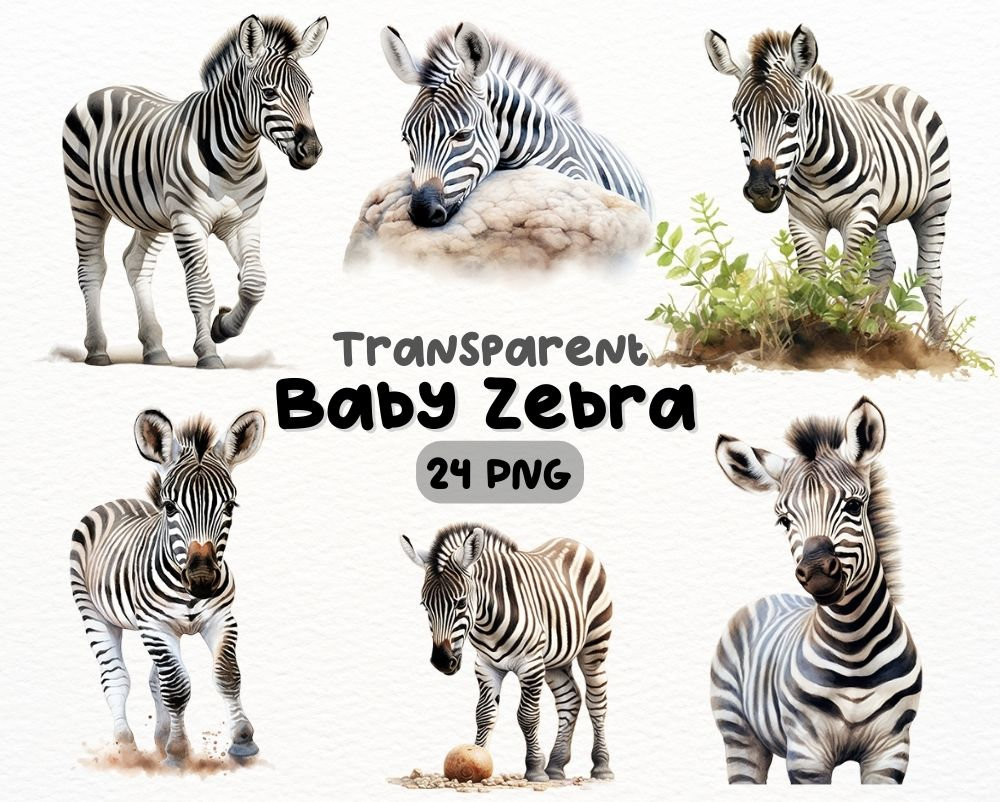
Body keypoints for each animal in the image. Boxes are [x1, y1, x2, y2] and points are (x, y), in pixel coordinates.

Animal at [62, 15, 327, 368]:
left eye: (309, 93)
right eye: (269, 93)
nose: (311, 151)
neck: (236, 161)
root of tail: (105, 88)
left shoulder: (243, 220)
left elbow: (254, 282)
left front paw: (222, 327)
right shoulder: (189, 221)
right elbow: (201, 288)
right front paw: (208, 352)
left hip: (153, 214)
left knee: (135, 263)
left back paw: (155, 349)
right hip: (85, 196)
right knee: (91, 267)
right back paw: (97, 350)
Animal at [70, 409, 265, 765]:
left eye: (230, 506)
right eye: (170, 507)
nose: (202, 581)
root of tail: (117, 501)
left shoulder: (221, 618)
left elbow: (227, 674)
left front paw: (243, 740)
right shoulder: (155, 626)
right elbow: (175, 687)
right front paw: (177, 752)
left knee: (154, 680)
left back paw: (159, 739)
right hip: (93, 612)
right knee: (115, 679)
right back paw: (127, 745)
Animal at [399, 524, 614, 782]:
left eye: (460, 603)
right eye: (425, 605)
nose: (442, 661)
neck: (487, 621)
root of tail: (573, 542)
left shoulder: (531, 665)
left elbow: (527, 716)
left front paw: (535, 769)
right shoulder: (485, 666)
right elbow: (484, 713)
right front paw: (479, 758)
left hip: (594, 647)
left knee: (596, 702)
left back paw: (601, 766)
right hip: (555, 660)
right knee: (570, 699)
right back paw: (556, 766)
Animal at [705, 26, 951, 341]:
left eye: (792, 118)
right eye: (737, 121)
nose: (761, 190)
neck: (816, 169)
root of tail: (894, 86)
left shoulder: (858, 217)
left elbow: (851, 275)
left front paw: (849, 332)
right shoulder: (804, 221)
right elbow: (812, 274)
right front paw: (812, 330)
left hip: (934, 203)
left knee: (930, 270)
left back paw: (939, 340)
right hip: (879, 212)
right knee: (885, 264)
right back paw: (875, 324)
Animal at [712, 397, 921, 784]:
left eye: (853, 506)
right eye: (784, 521)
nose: (817, 572)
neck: (855, 651)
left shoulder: (891, 752)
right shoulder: (807, 756)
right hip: (739, 734)